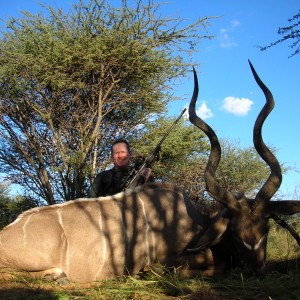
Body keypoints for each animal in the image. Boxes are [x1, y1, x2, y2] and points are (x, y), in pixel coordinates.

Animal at [0, 61, 300, 284]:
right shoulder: (168, 260)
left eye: (266, 227)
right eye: (235, 232)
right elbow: (209, 266)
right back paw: (57, 275)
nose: (257, 270)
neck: (194, 219)